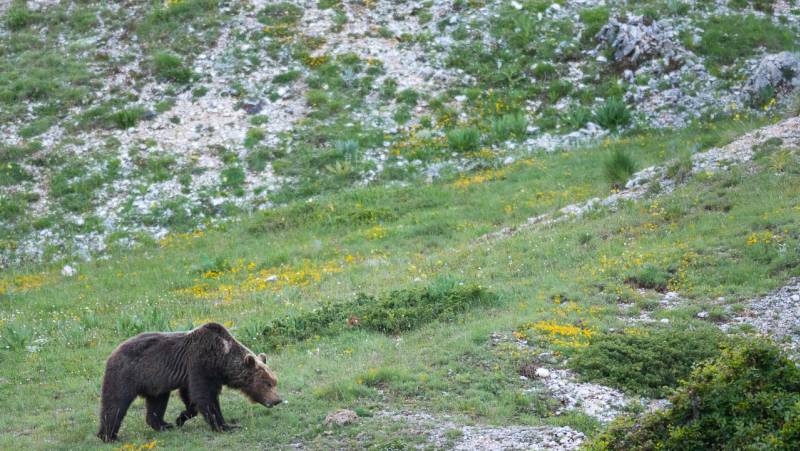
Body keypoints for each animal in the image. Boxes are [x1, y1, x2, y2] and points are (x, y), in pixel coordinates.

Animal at [97, 322, 281, 442]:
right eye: (267, 383)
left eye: (274, 381)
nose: (277, 400)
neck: (222, 359)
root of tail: (113, 351)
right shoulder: (201, 363)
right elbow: (205, 397)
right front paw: (225, 426)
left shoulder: (193, 373)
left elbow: (191, 397)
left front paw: (180, 418)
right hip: (126, 374)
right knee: (115, 403)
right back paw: (108, 436)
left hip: (155, 382)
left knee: (157, 402)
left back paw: (164, 425)